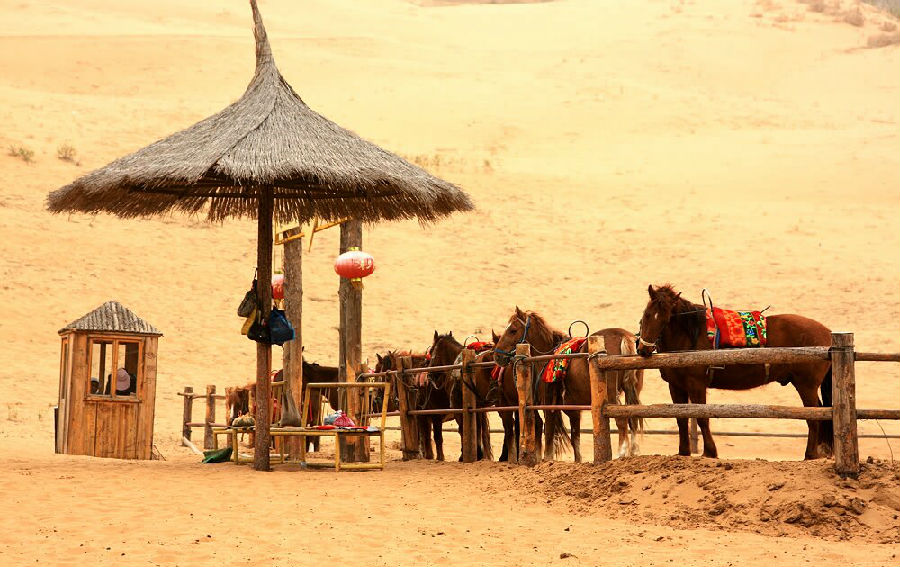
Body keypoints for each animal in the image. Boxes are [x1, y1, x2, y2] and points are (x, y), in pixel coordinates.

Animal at [492, 308, 648, 464]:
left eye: (513, 330)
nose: (497, 356)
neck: (548, 355)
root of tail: (624, 336)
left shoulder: (549, 403)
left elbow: (549, 432)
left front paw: (548, 458)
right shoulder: (573, 409)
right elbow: (575, 438)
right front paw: (578, 460)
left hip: (611, 394)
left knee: (621, 420)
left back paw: (621, 452)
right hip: (633, 389)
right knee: (633, 417)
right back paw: (634, 451)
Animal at [636, 284, 832, 462]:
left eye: (666, 319)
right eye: (646, 315)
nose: (643, 350)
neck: (690, 336)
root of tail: (828, 333)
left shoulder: (696, 385)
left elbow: (702, 417)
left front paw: (710, 452)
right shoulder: (676, 386)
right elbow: (681, 419)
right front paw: (683, 452)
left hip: (806, 385)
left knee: (814, 417)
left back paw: (810, 455)